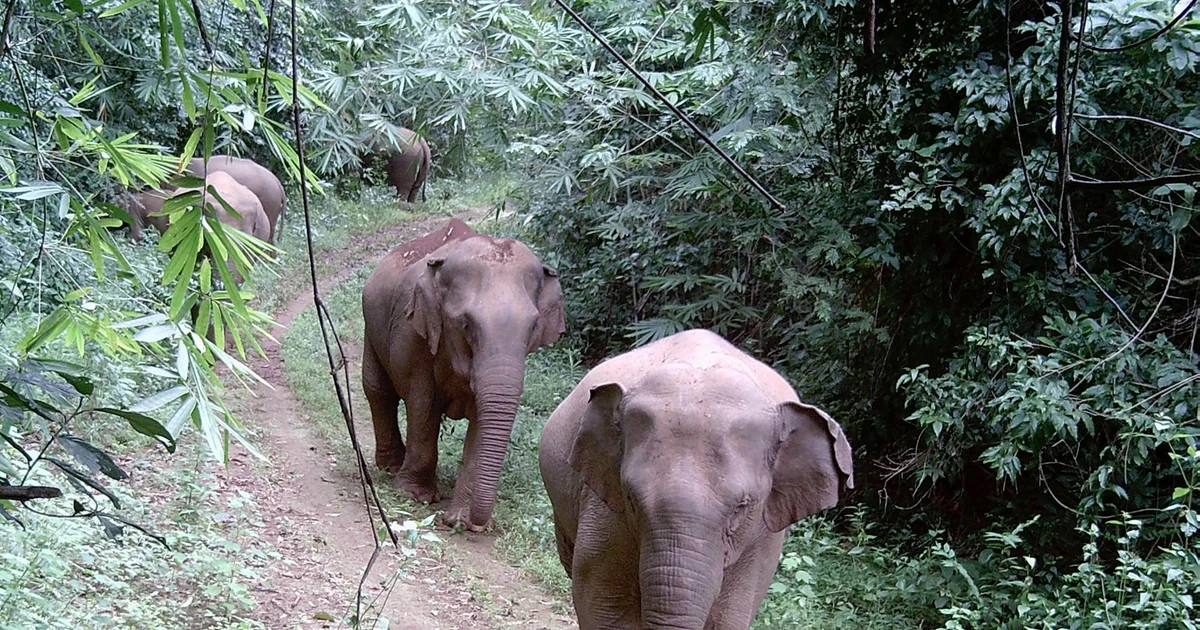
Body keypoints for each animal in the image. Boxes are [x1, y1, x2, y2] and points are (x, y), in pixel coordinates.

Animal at [361, 218, 565, 531]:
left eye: (533, 328)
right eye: (466, 325)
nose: (449, 522)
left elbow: (483, 419)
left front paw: (463, 520)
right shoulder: (412, 332)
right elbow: (423, 404)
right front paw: (415, 496)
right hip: (372, 326)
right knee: (378, 390)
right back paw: (390, 466)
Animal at [538, 329, 854, 630]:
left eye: (741, 508)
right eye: (631, 499)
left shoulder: (763, 534)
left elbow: (728, 618)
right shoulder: (604, 509)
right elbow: (603, 606)